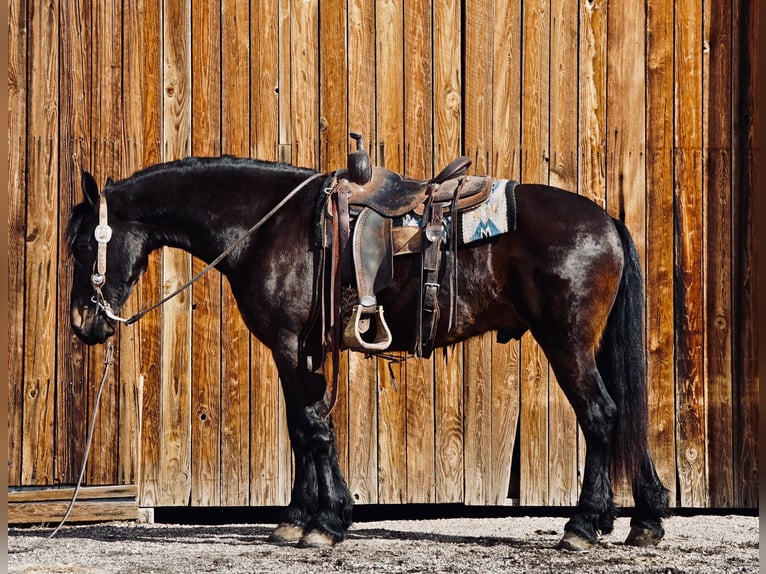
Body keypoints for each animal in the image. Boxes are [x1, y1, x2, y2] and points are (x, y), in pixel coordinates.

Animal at [66, 155, 668, 552]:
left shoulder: (289, 345)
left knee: (601, 416)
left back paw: (582, 526)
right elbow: (307, 426)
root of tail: (607, 222)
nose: (80, 323)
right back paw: (645, 519)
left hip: (567, 344)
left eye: (82, 244)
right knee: (624, 417)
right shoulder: (305, 349)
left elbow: (310, 428)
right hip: (592, 346)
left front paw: (321, 523)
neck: (265, 226)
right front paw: (307, 516)